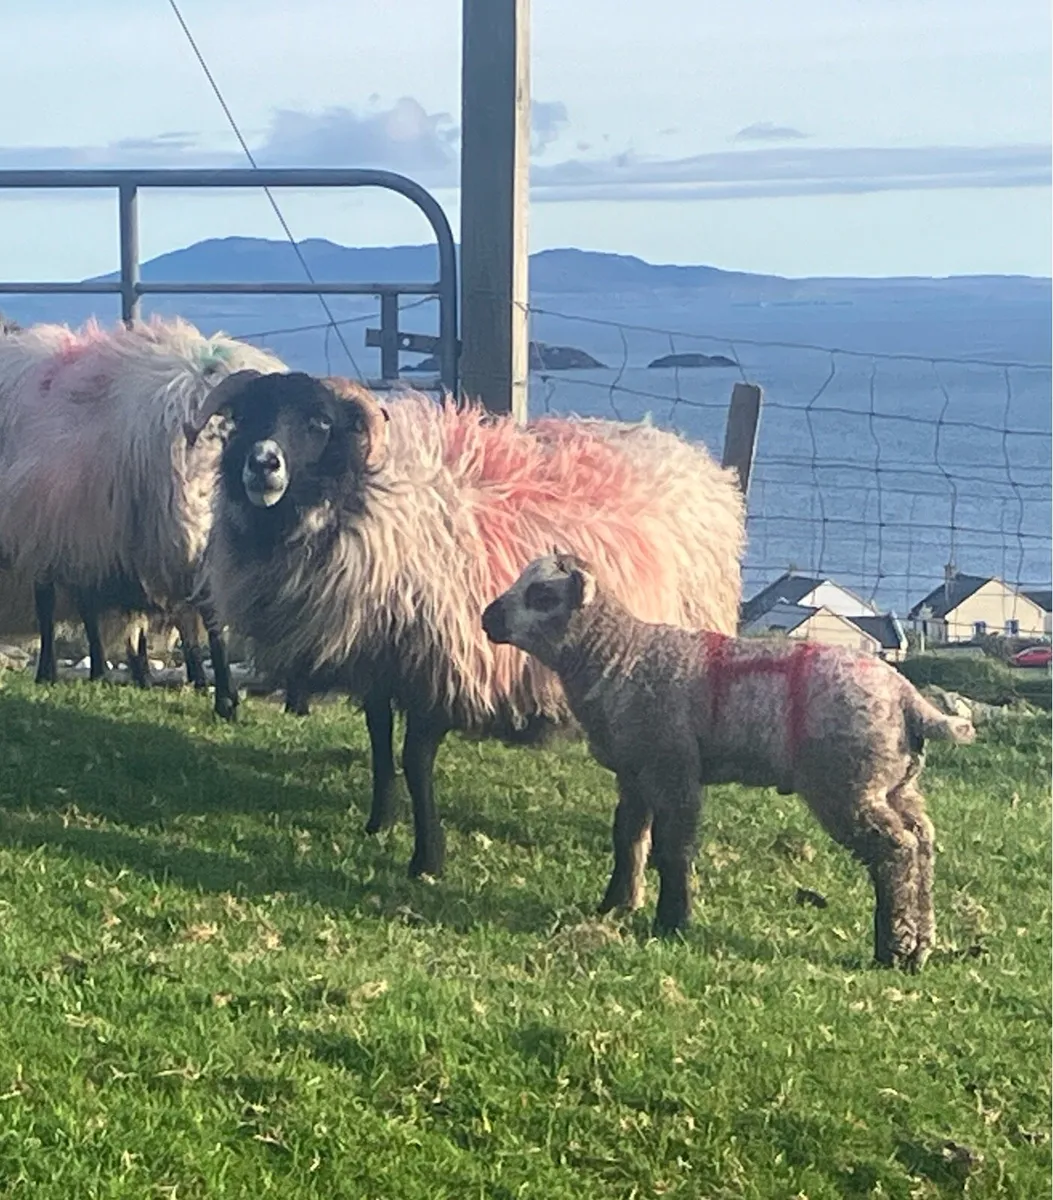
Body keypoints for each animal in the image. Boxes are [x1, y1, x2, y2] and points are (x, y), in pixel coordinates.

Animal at [187, 370, 746, 879]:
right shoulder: (379, 659)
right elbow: (379, 740)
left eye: (319, 422)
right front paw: (379, 821)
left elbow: (414, 760)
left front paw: (427, 859)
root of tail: (691, 458)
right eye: (247, 416)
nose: (263, 462)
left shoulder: (441, 662)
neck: (370, 500)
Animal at [481, 553, 976, 969]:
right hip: (894, 783)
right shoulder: (635, 771)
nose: (487, 617)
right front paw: (616, 905)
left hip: (846, 782)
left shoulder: (673, 766)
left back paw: (893, 950)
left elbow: (674, 847)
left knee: (896, 850)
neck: (620, 656)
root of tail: (908, 700)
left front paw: (672, 921)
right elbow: (629, 839)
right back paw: (921, 944)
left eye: (542, 595)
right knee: (923, 842)